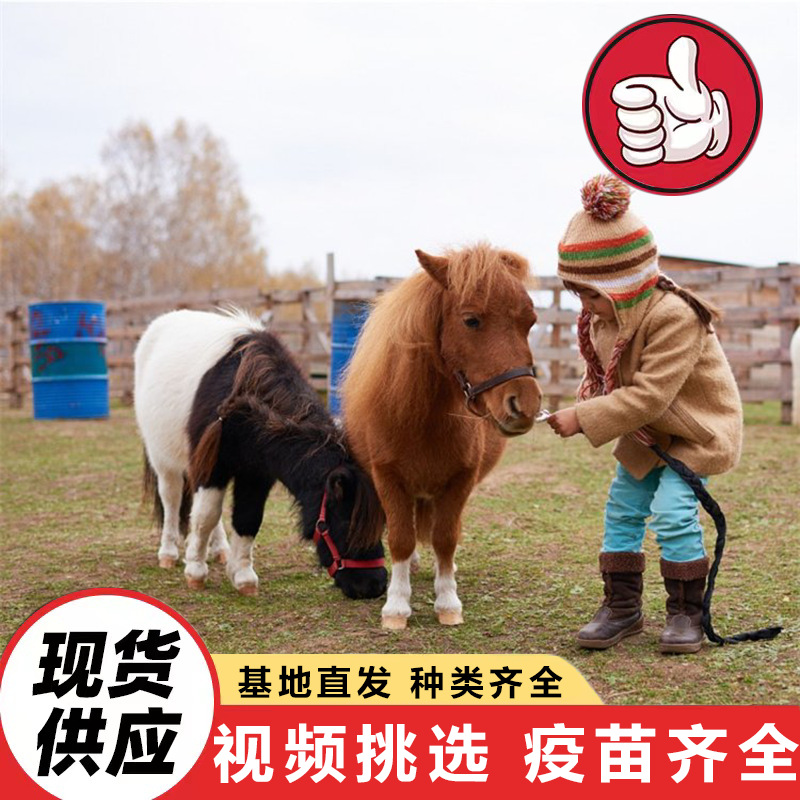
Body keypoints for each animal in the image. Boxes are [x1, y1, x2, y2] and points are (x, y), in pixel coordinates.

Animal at [133, 308, 387, 600]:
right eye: (346, 522)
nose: (374, 585)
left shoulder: (256, 473)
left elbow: (247, 518)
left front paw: (242, 577)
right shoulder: (214, 467)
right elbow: (205, 516)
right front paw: (195, 571)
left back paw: (219, 550)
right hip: (164, 460)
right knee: (172, 500)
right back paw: (169, 553)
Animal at [341, 244, 543, 628]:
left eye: (530, 322)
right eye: (471, 320)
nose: (524, 406)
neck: (425, 420)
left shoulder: (460, 481)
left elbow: (446, 539)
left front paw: (448, 602)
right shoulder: (387, 479)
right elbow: (401, 539)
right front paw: (396, 607)